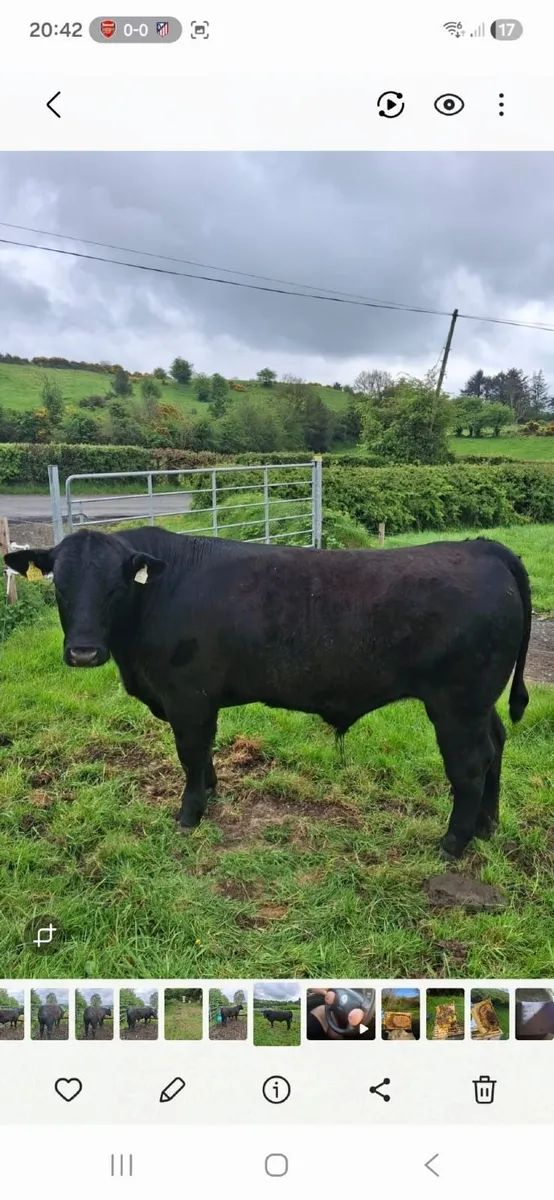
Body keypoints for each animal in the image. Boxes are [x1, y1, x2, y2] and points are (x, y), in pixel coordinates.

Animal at [5, 528, 531, 861]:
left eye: (115, 585)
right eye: (60, 585)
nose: (84, 652)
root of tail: (484, 549)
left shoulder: (187, 697)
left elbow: (190, 754)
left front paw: (189, 814)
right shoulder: (199, 701)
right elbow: (204, 753)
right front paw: (211, 792)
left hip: (456, 704)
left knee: (470, 767)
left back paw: (454, 843)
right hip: (479, 704)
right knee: (497, 745)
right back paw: (487, 826)